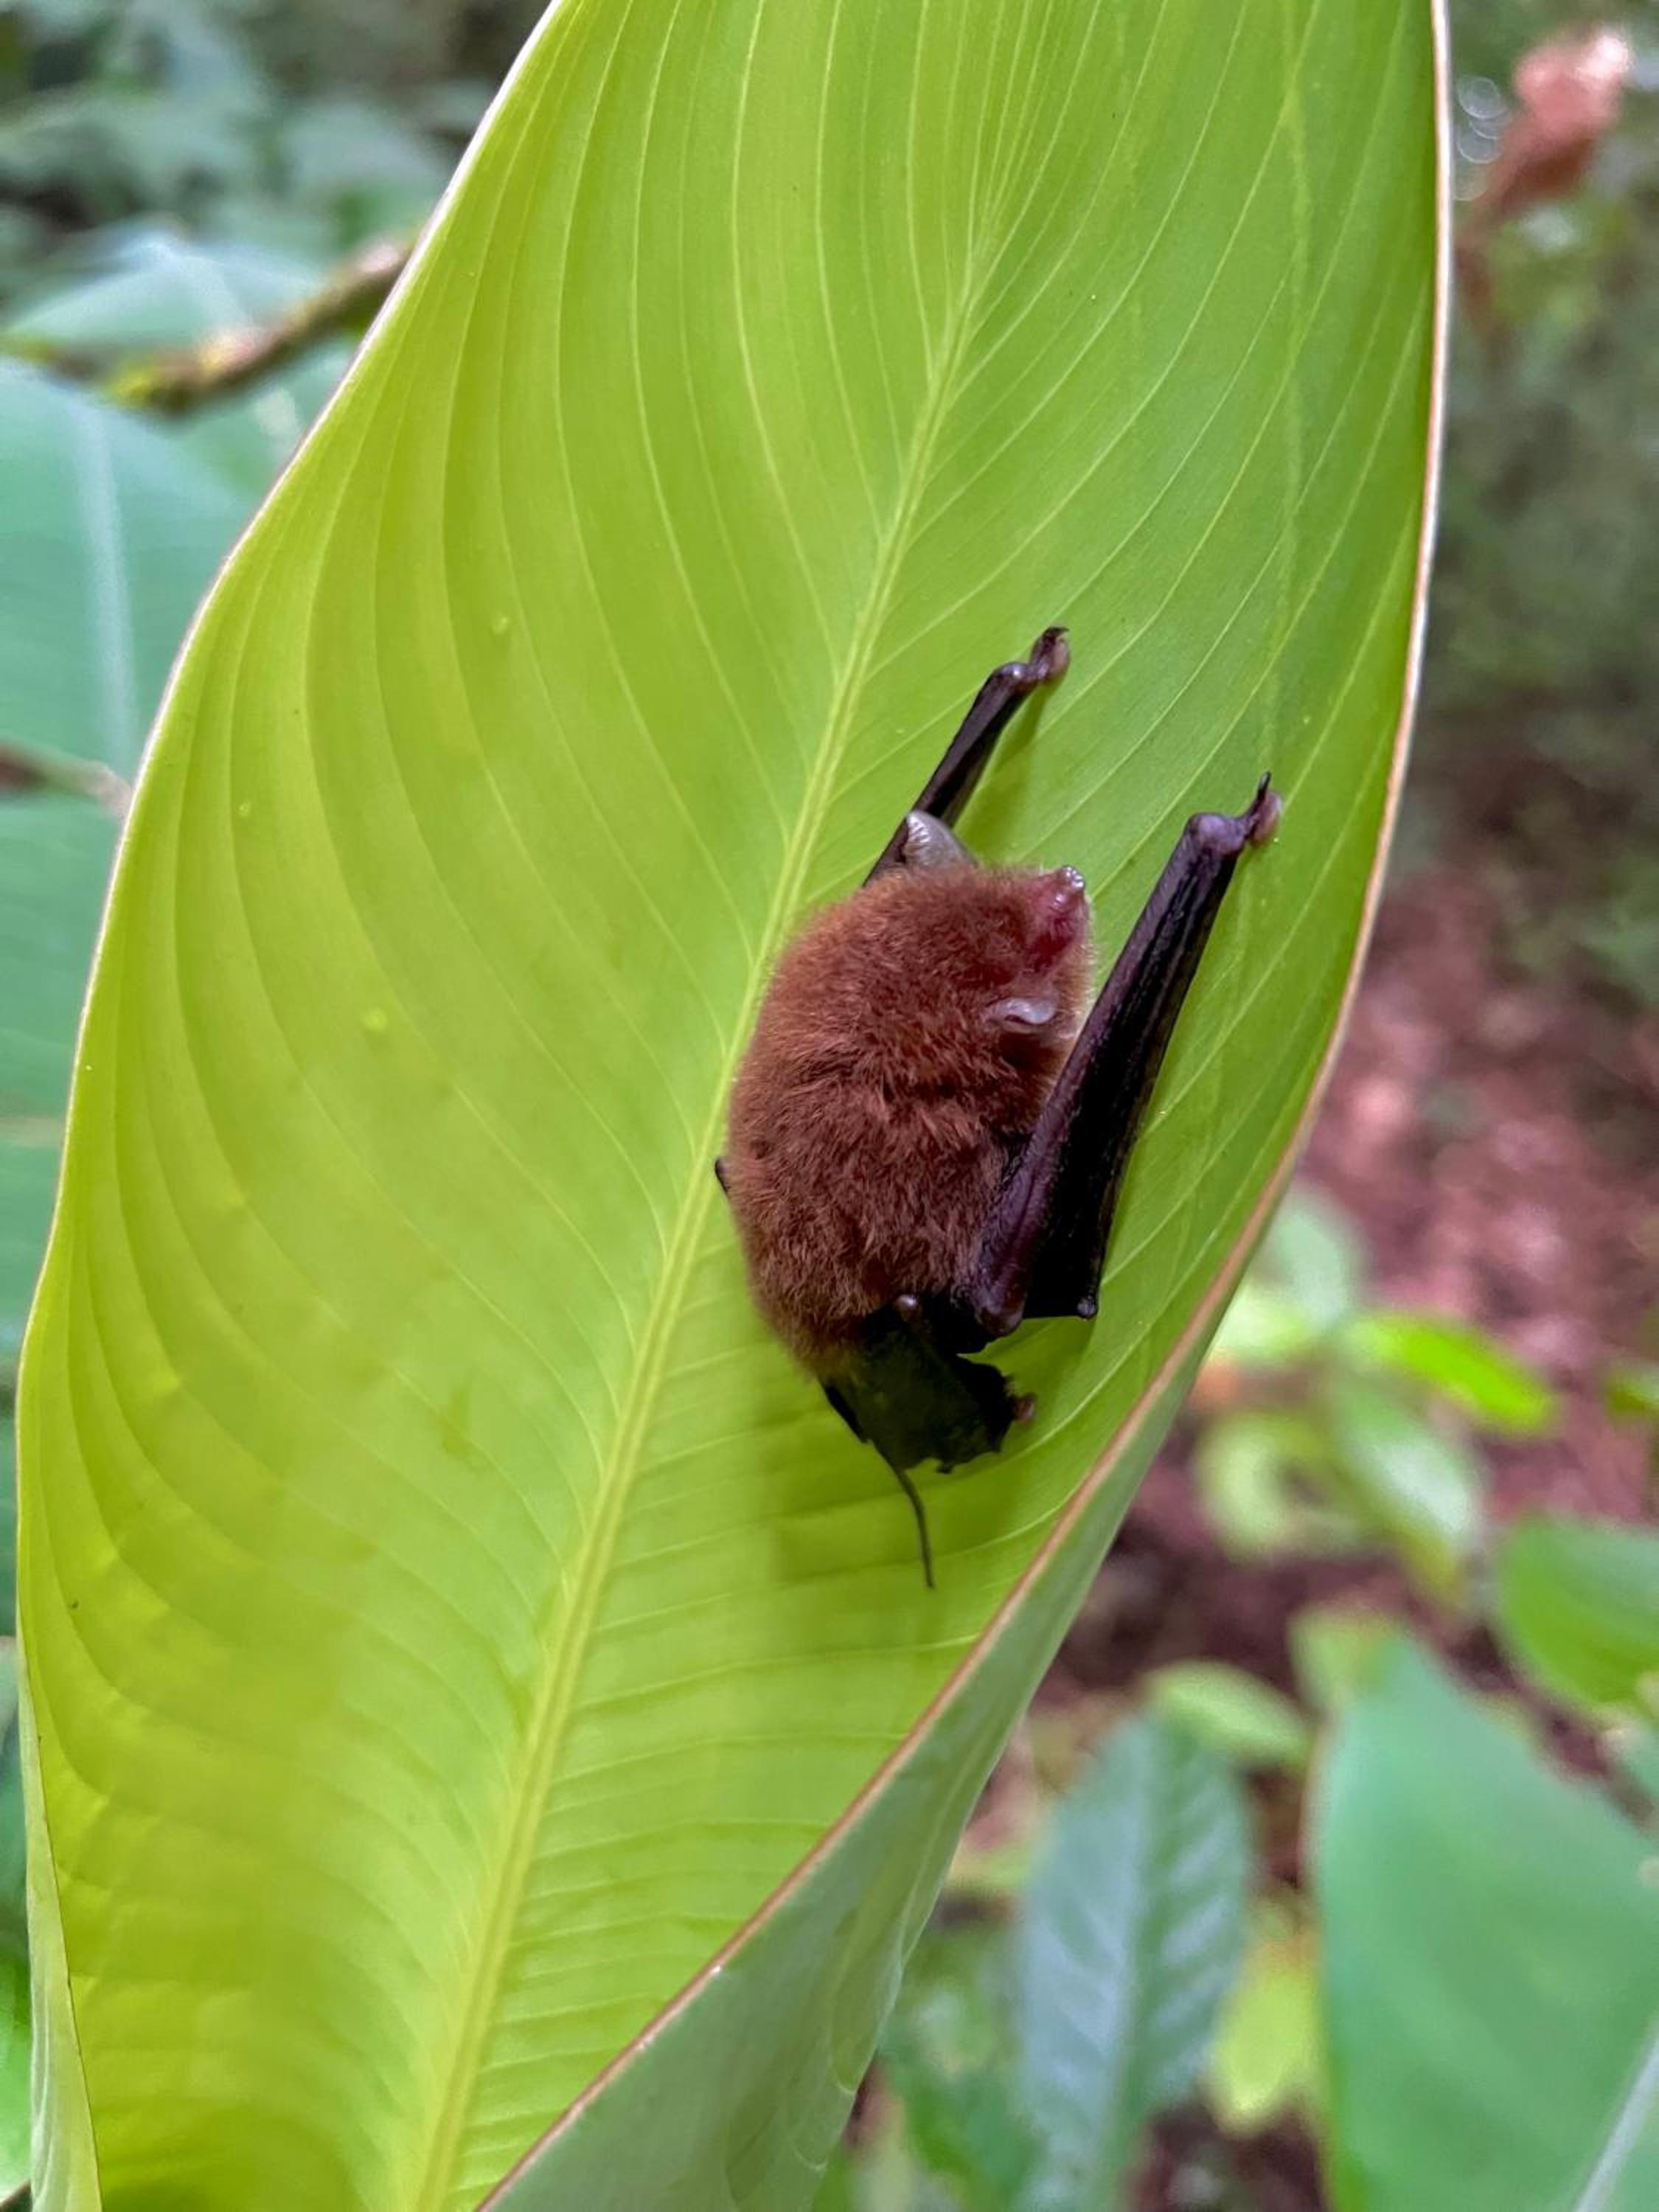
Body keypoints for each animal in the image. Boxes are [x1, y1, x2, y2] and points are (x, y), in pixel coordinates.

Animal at [718, 627, 1279, 1582]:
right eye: (1046, 939)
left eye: (985, 887)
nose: (1070, 881)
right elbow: (998, 1289)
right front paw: (1231, 828)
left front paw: (1030, 668)